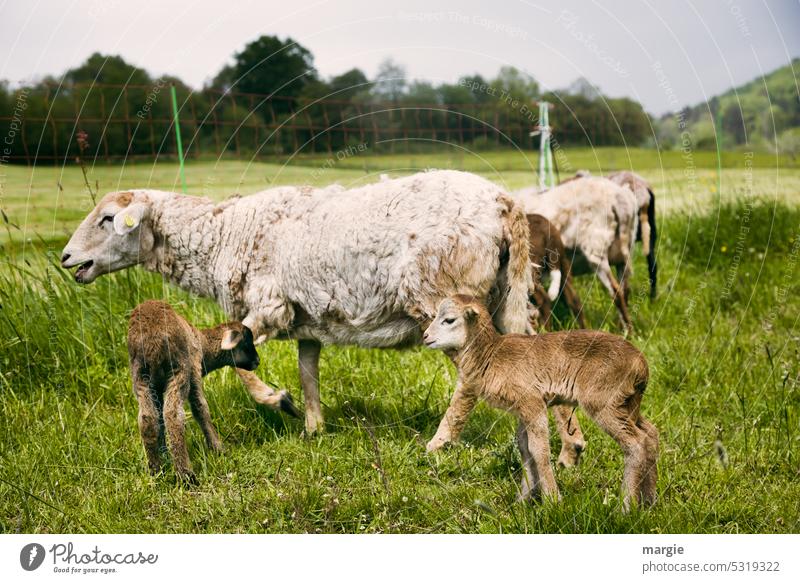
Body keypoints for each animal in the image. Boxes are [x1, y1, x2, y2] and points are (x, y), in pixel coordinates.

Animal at [62, 171, 536, 436]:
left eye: (108, 219)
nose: (67, 258)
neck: (224, 233)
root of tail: (504, 202)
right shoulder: (309, 320)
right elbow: (309, 373)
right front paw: (313, 427)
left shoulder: (269, 306)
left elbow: (240, 365)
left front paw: (277, 400)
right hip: (502, 299)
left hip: (443, 301)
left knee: (470, 380)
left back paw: (443, 441)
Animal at [126, 302, 260, 484]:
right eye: (246, 342)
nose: (258, 360)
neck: (203, 344)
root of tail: (150, 340)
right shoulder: (194, 369)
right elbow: (200, 408)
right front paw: (219, 449)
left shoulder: (157, 387)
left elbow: (159, 418)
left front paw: (164, 454)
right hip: (179, 369)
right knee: (173, 415)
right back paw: (186, 475)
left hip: (141, 377)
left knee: (147, 418)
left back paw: (156, 471)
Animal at [422, 296, 660, 512]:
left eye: (449, 320)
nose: (425, 336)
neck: (490, 355)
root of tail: (641, 364)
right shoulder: (521, 409)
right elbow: (525, 449)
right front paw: (522, 502)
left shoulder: (532, 402)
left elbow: (539, 450)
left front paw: (552, 501)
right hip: (627, 402)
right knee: (650, 434)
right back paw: (649, 501)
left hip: (603, 402)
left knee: (635, 443)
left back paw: (626, 508)